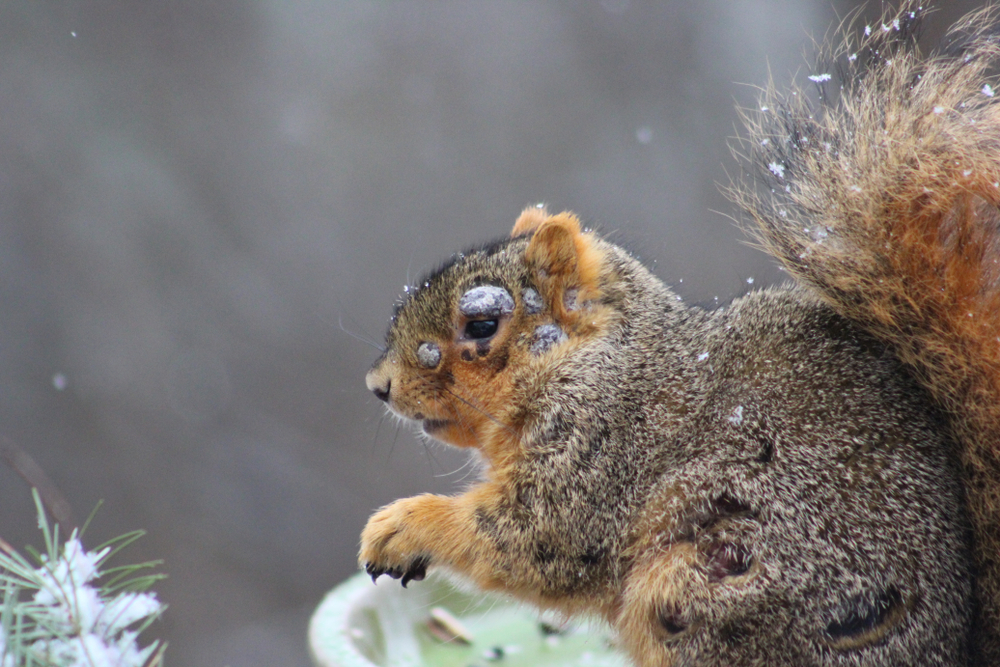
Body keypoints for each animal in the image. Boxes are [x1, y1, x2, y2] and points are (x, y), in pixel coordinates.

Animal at [359, 2, 1000, 665]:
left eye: (482, 323)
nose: (379, 384)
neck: (598, 357)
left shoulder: (603, 449)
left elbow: (538, 538)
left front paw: (403, 527)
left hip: (712, 587)